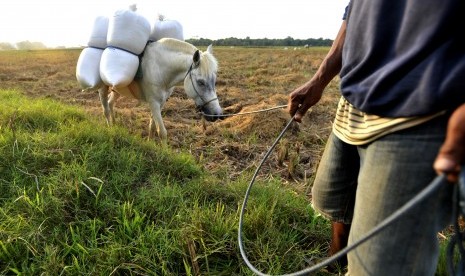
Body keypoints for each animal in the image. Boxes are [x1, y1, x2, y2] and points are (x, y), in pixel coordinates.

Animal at [76, 5, 221, 140]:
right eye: (200, 82)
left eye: (215, 81)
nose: (217, 115)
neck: (161, 69)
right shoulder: (154, 102)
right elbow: (162, 132)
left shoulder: (161, 102)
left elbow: (152, 126)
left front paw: (149, 141)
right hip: (103, 88)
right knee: (105, 109)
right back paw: (110, 128)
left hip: (117, 89)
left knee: (111, 104)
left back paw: (116, 124)